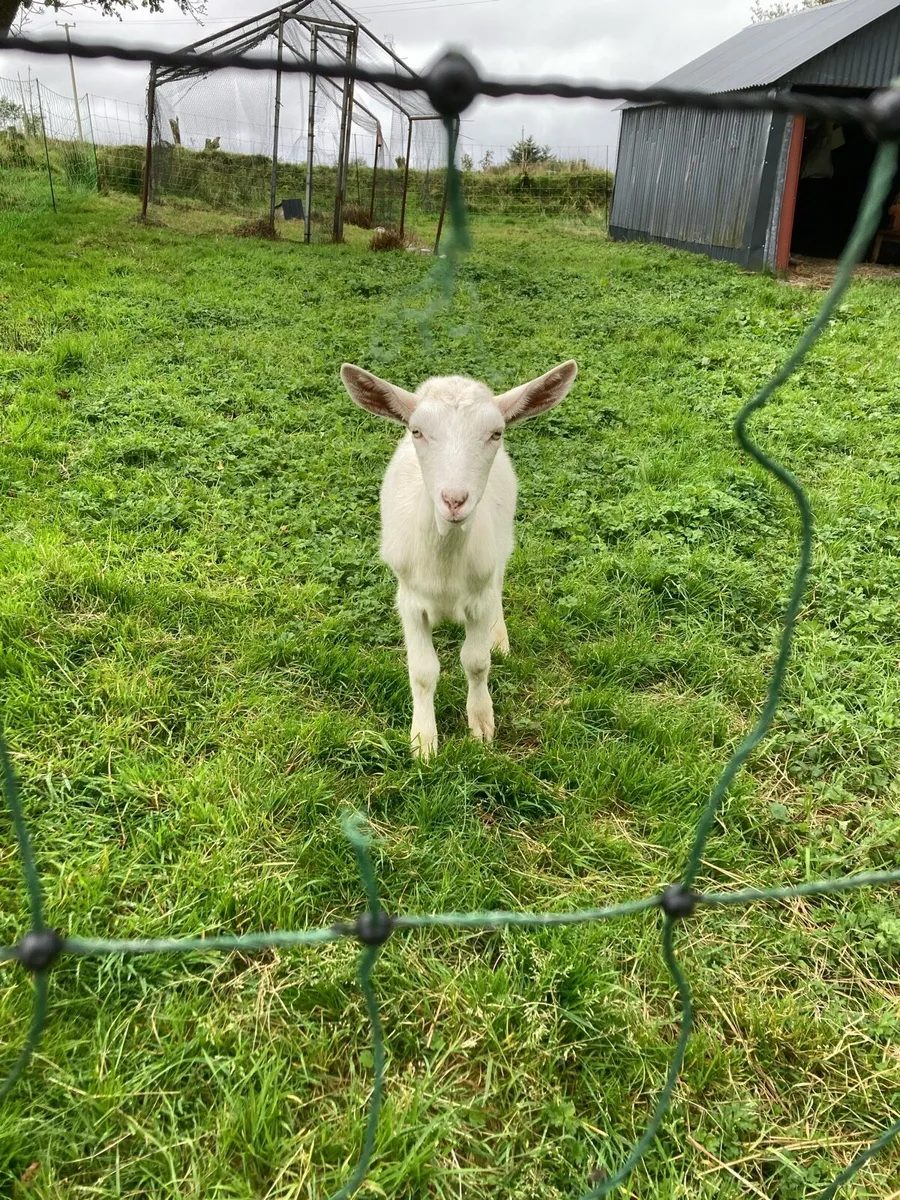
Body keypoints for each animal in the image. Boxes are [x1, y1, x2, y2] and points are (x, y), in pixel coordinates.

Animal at [341, 360, 578, 758]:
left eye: (495, 433)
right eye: (417, 431)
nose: (454, 499)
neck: (444, 562)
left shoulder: (478, 595)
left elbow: (476, 662)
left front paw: (481, 724)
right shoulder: (409, 600)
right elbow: (423, 671)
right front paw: (423, 740)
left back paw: (499, 637)